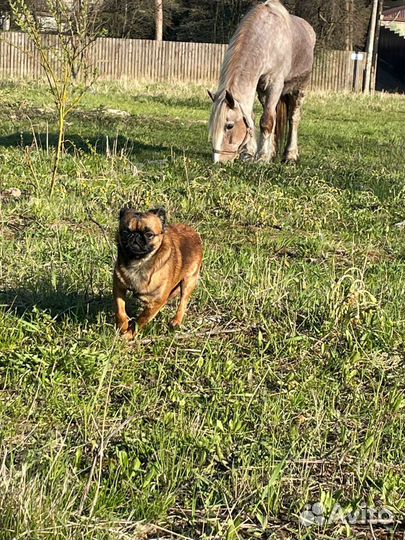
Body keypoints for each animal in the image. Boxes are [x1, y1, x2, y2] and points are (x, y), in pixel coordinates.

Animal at [113, 206, 202, 338]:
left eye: (149, 234)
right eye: (125, 232)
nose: (135, 236)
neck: (139, 262)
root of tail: (193, 232)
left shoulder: (157, 301)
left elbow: (141, 320)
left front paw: (129, 335)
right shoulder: (118, 287)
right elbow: (120, 311)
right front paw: (123, 326)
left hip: (189, 281)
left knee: (183, 301)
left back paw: (176, 321)